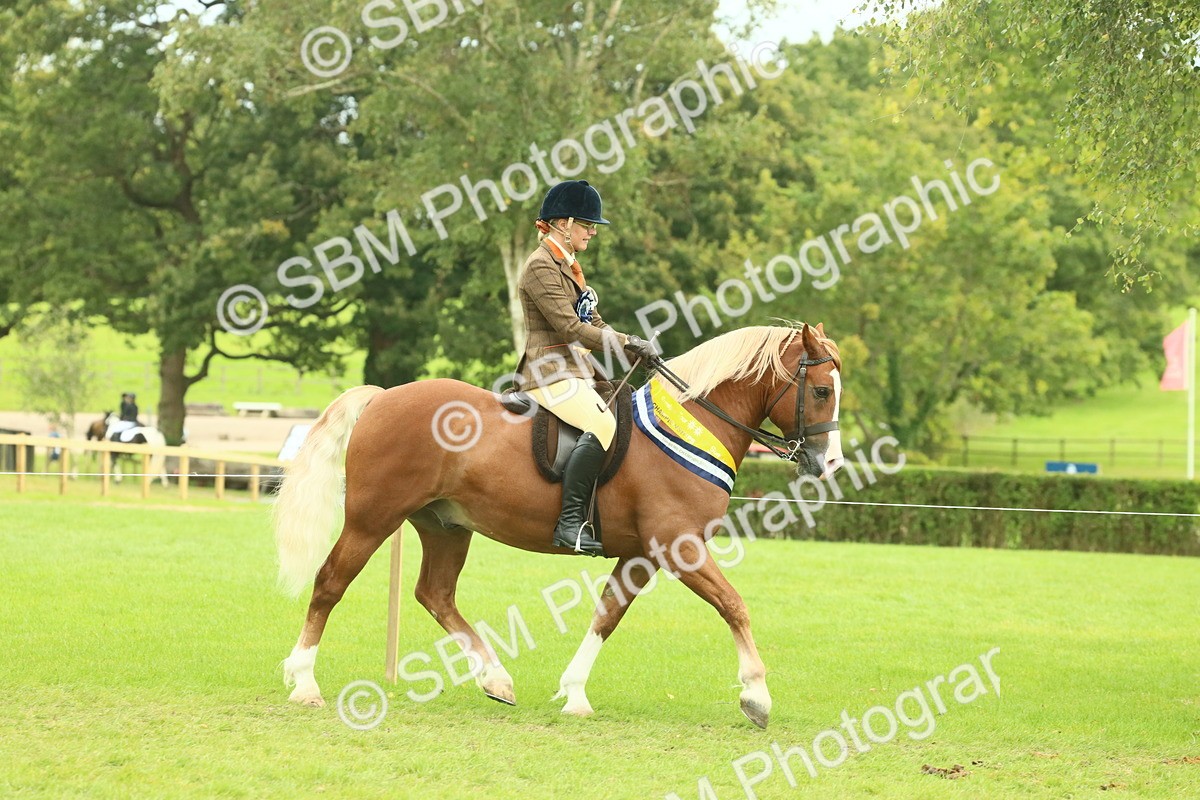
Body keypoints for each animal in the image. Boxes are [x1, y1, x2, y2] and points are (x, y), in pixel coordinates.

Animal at [275, 322, 844, 728]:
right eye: (820, 391)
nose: (830, 463)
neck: (692, 423)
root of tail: (383, 395)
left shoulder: (641, 555)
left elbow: (607, 616)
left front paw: (574, 694)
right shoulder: (679, 547)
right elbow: (734, 606)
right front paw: (757, 697)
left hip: (446, 526)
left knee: (435, 594)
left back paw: (497, 680)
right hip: (372, 519)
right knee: (330, 583)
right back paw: (304, 684)